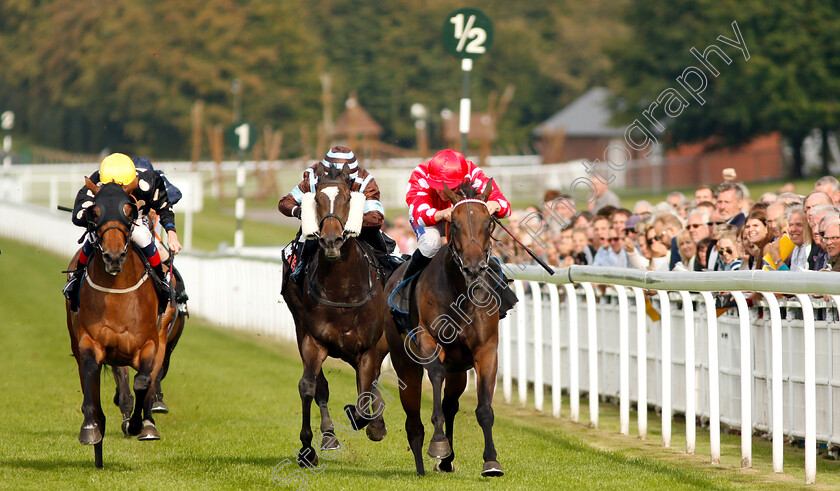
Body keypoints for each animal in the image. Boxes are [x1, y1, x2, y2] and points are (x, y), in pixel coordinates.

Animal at [386, 180, 506, 476]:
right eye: (456, 223)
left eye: (489, 222)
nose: (474, 268)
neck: (460, 292)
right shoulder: (430, 342)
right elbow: (436, 378)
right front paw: (439, 443)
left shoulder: (486, 350)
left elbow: (484, 408)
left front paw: (491, 461)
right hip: (405, 363)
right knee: (413, 417)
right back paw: (422, 463)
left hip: (459, 370)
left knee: (451, 404)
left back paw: (448, 460)